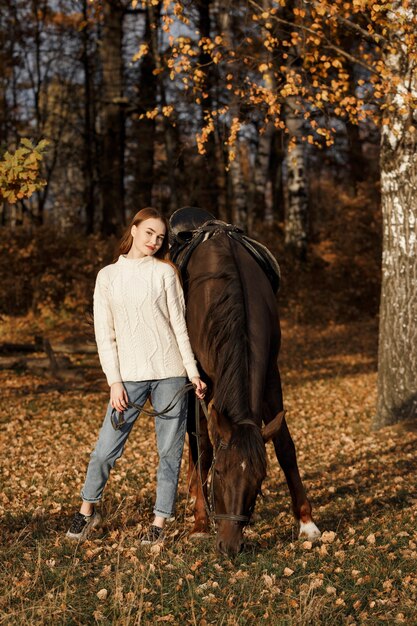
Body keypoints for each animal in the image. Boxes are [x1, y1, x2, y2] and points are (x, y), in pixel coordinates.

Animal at [169, 212, 318, 552]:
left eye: (259, 479)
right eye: (221, 473)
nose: (229, 545)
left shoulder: (271, 375)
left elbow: (285, 445)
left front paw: (306, 522)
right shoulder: (200, 380)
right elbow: (204, 447)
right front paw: (200, 523)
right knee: (193, 439)